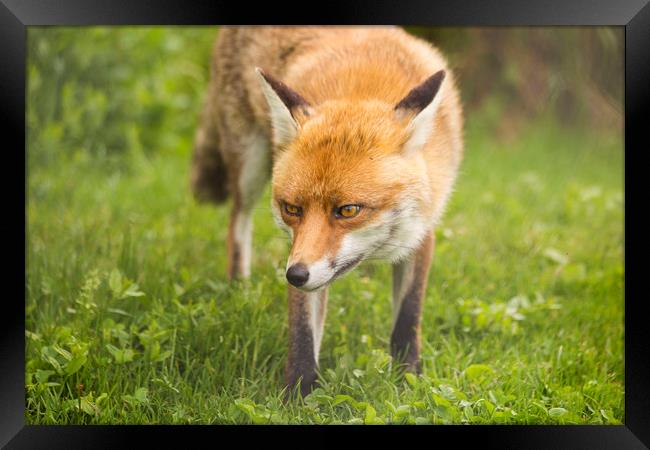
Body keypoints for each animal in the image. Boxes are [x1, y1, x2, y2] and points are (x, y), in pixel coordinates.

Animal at [190, 26, 464, 396]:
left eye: (348, 210)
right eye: (292, 208)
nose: (295, 275)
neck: (364, 85)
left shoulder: (421, 230)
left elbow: (408, 319)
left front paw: (408, 382)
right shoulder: (299, 248)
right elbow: (303, 333)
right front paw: (298, 395)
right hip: (249, 165)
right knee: (238, 223)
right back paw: (239, 291)